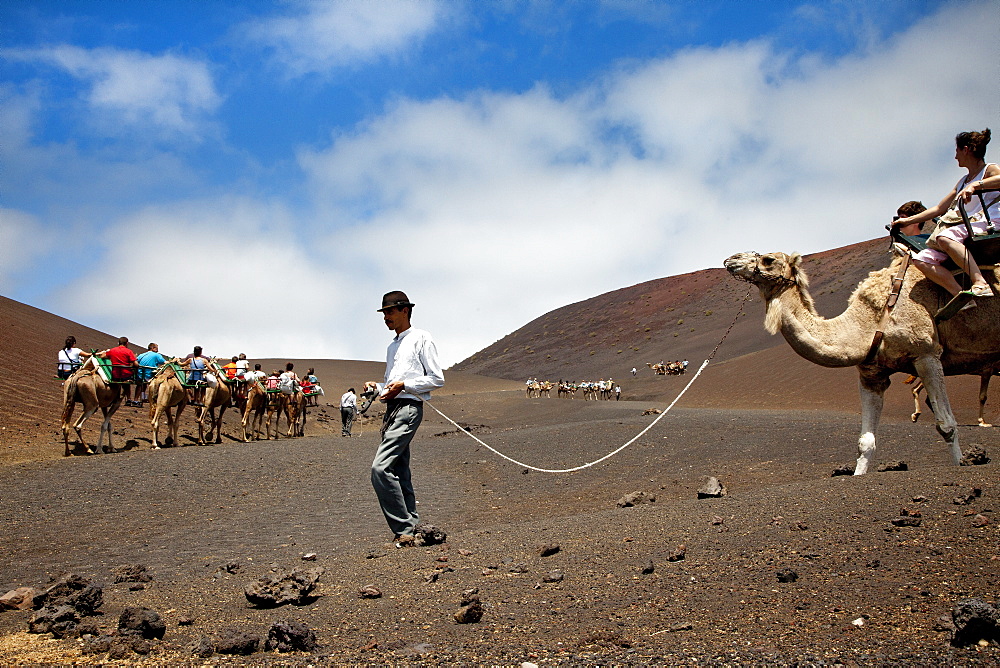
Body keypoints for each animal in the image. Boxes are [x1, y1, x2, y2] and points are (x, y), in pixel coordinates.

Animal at [728, 250, 1000, 474]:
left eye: (768, 259)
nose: (731, 259)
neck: (869, 320)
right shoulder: (872, 373)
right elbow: (865, 442)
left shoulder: (927, 354)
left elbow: (947, 425)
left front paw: (961, 465)